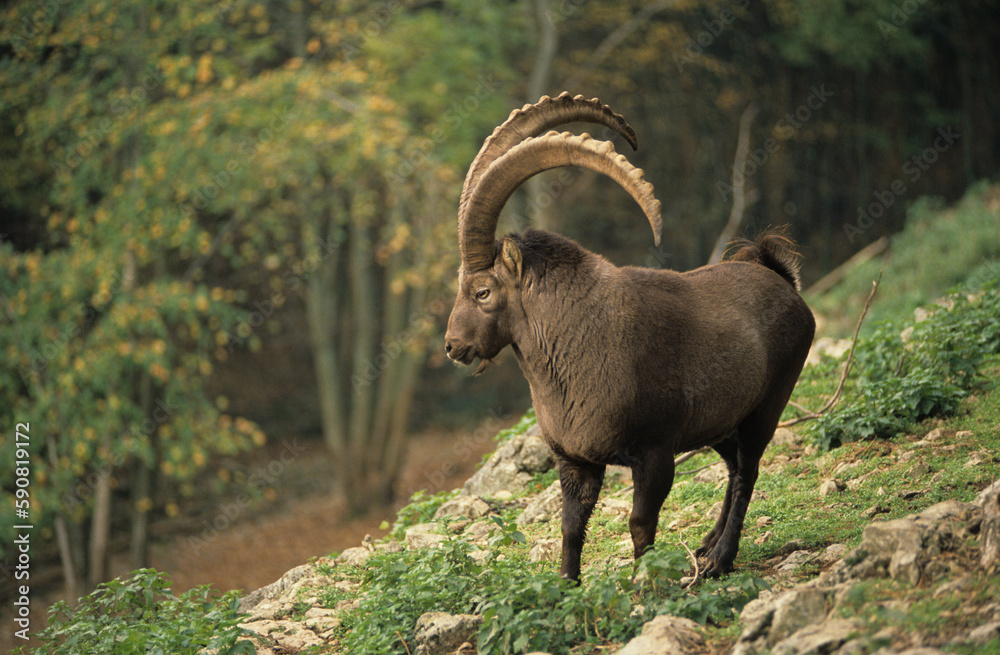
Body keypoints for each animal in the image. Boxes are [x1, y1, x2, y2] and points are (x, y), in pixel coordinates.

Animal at [445, 93, 815, 582]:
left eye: (482, 291)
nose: (452, 346)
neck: (575, 348)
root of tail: (783, 282)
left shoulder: (654, 452)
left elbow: (640, 523)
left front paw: (646, 585)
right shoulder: (576, 460)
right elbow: (571, 526)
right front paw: (566, 586)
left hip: (766, 407)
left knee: (747, 472)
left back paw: (720, 558)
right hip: (721, 423)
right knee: (735, 465)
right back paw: (707, 544)